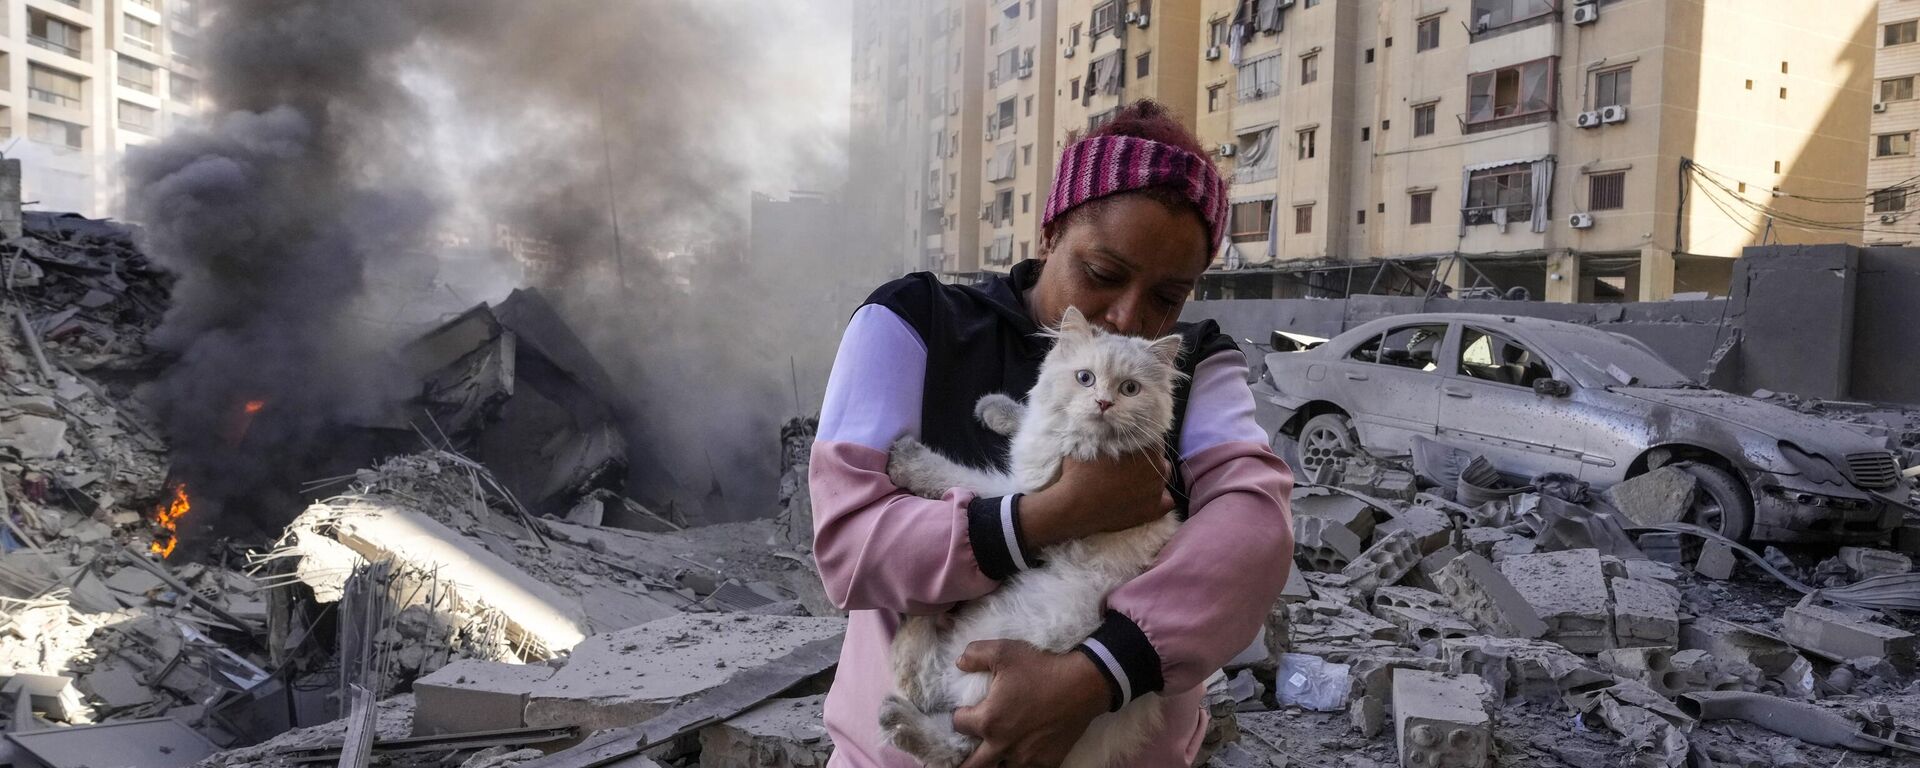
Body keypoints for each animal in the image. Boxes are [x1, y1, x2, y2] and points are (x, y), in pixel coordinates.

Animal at [883, 305, 1182, 768]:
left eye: (1130, 389)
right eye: (1084, 378)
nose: (1103, 403)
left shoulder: (1020, 489)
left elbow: (960, 480)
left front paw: (908, 462)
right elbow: (1026, 414)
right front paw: (994, 409)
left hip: (990, 658)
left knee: (956, 735)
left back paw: (901, 713)